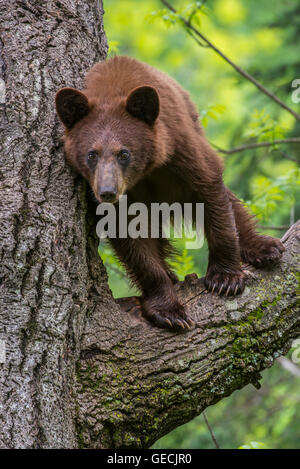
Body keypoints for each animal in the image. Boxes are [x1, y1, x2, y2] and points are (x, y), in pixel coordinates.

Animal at [55, 54, 284, 330]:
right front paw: (169, 310)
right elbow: (133, 237)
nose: (107, 192)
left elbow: (213, 196)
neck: (147, 172)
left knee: (231, 204)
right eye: (91, 154)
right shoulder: (126, 198)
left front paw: (225, 279)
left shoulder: (180, 148)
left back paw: (262, 247)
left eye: (124, 153)